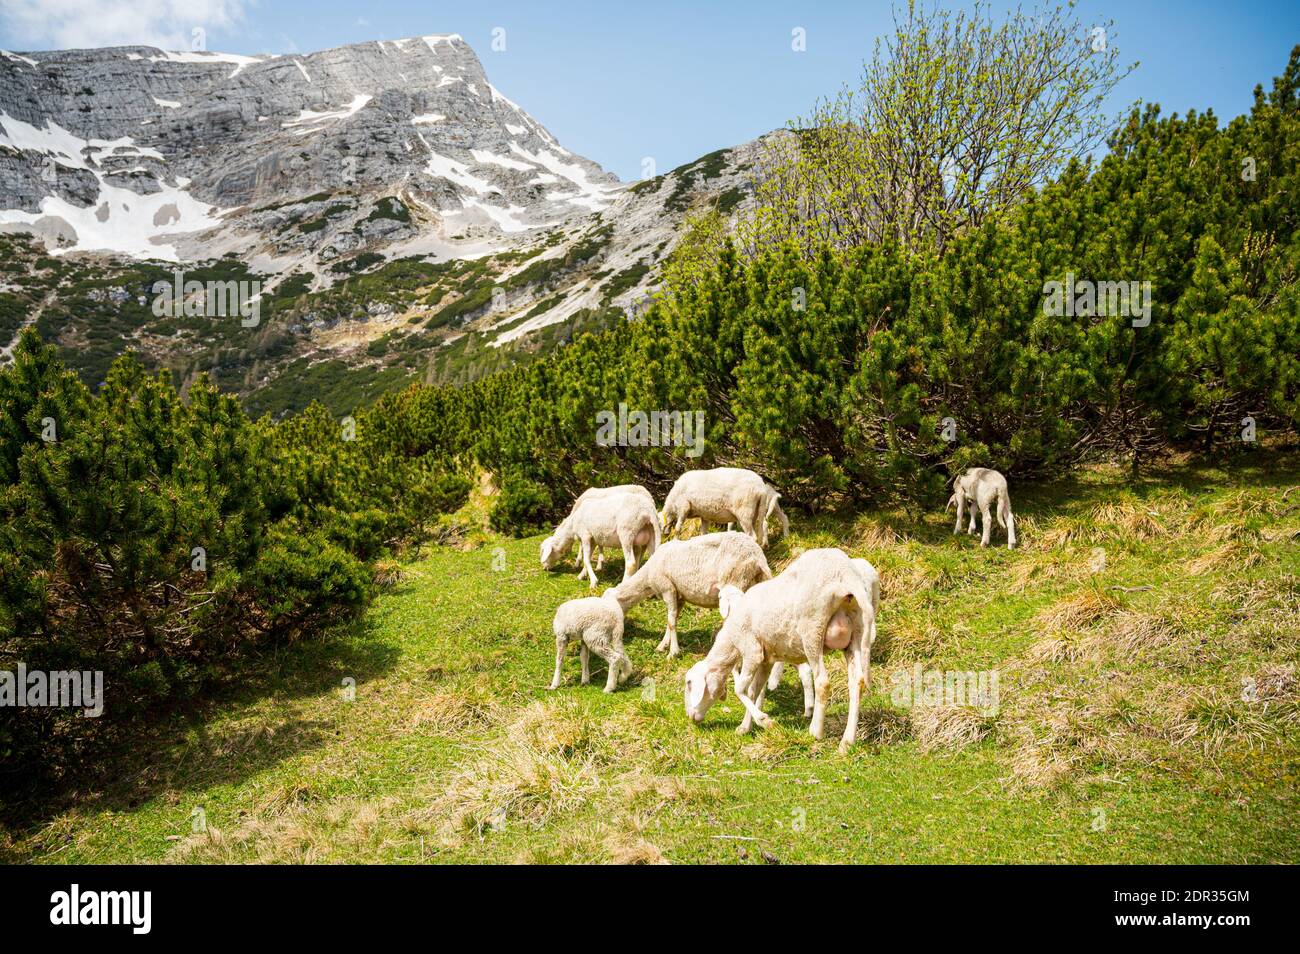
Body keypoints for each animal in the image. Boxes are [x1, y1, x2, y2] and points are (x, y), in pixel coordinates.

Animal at [608, 531, 771, 657]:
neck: (647, 577)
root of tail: (758, 557)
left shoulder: (667, 588)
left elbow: (671, 621)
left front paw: (673, 652)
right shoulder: (679, 596)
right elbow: (672, 619)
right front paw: (663, 645)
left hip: (736, 580)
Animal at [684, 548, 876, 751]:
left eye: (689, 683)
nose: (690, 717)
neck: (731, 639)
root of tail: (846, 575)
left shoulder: (752, 651)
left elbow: (740, 689)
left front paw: (765, 721)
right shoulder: (766, 660)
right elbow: (753, 692)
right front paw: (745, 727)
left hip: (812, 631)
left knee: (822, 682)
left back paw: (815, 731)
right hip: (856, 632)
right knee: (857, 682)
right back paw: (847, 741)